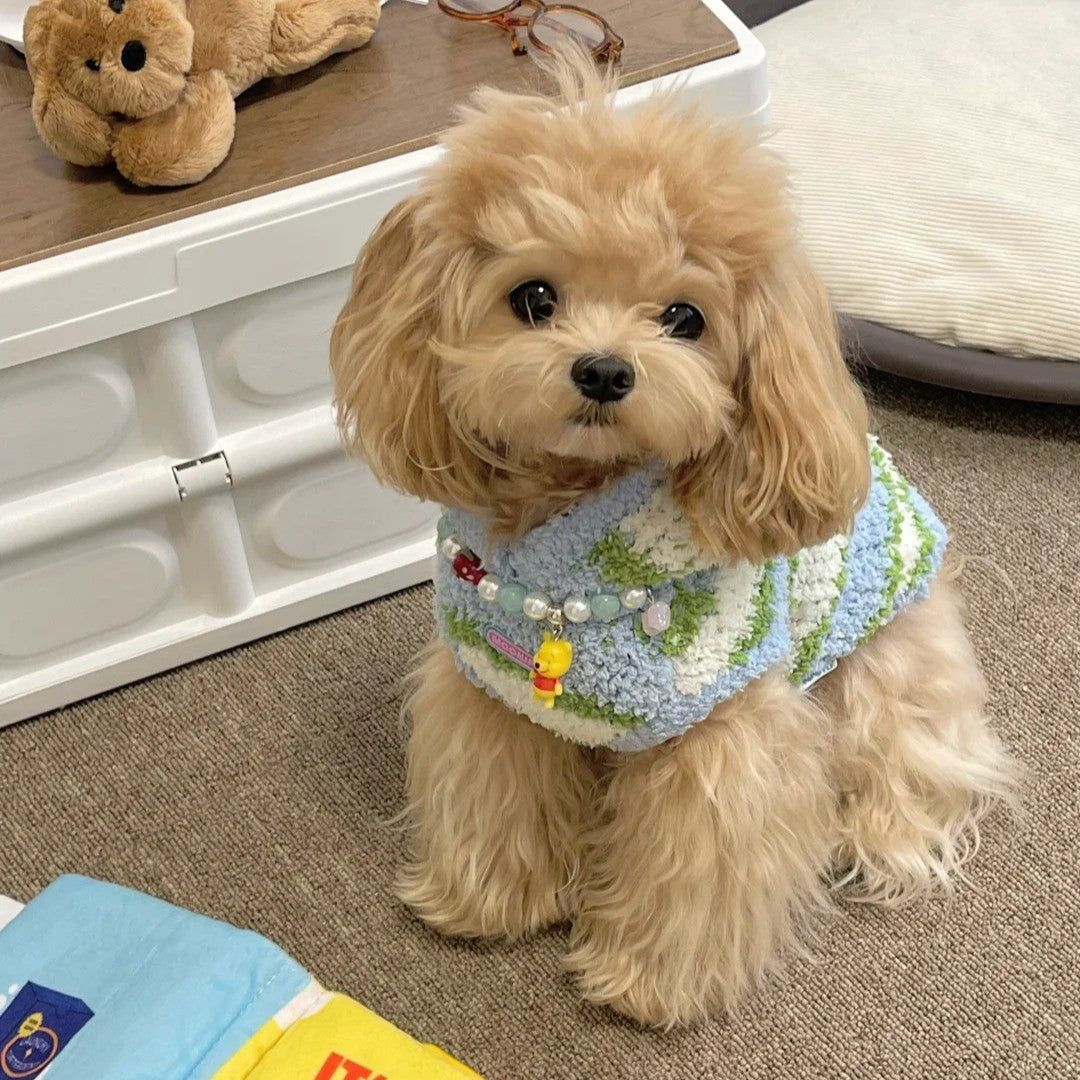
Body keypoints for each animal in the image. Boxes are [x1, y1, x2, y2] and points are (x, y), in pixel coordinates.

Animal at [326, 61, 1010, 1028]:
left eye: (685, 318)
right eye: (534, 298)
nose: (605, 370)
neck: (567, 578)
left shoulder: (716, 738)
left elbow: (694, 864)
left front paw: (648, 983)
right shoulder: (491, 700)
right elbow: (496, 798)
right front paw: (489, 901)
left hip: (883, 676)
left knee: (920, 765)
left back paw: (883, 837)